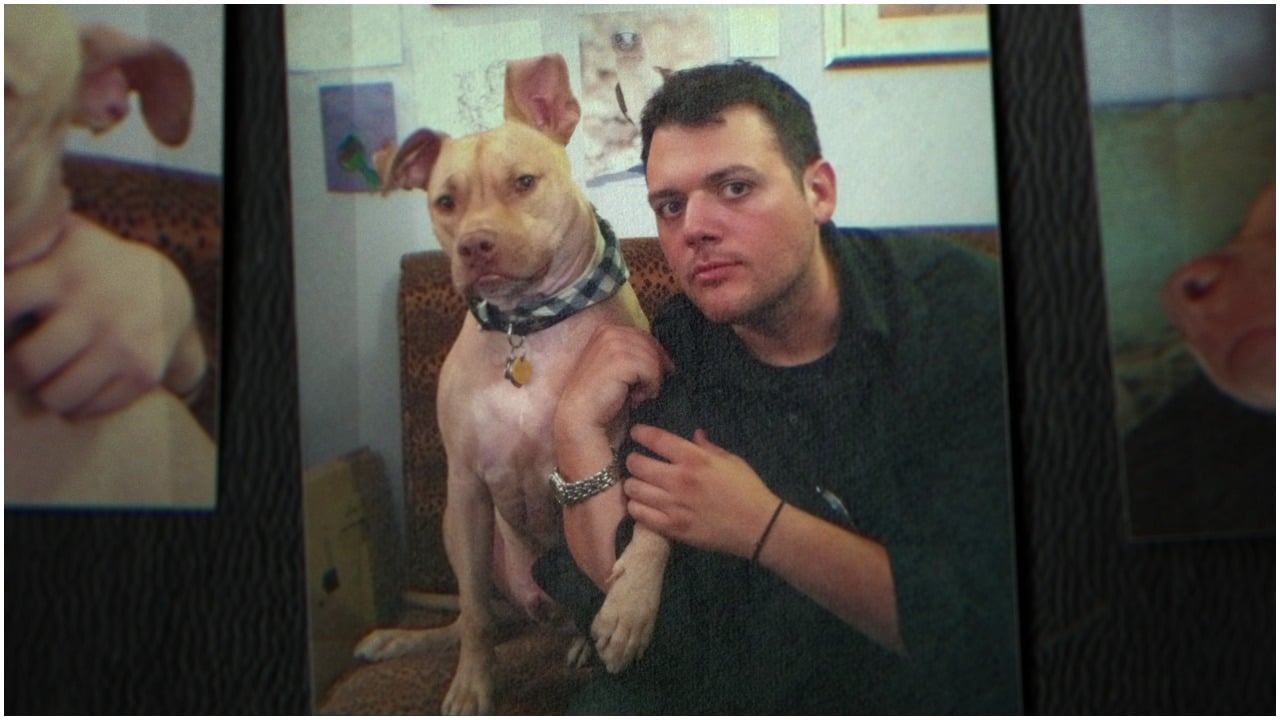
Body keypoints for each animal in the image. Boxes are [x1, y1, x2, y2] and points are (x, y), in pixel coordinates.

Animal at [350, 53, 670, 707]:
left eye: (523, 182)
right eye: (445, 201)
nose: (476, 244)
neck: (531, 324)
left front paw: (627, 615)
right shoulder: (468, 487)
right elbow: (475, 616)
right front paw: (472, 687)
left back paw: (579, 641)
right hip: (458, 532)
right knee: (477, 615)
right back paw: (401, 638)